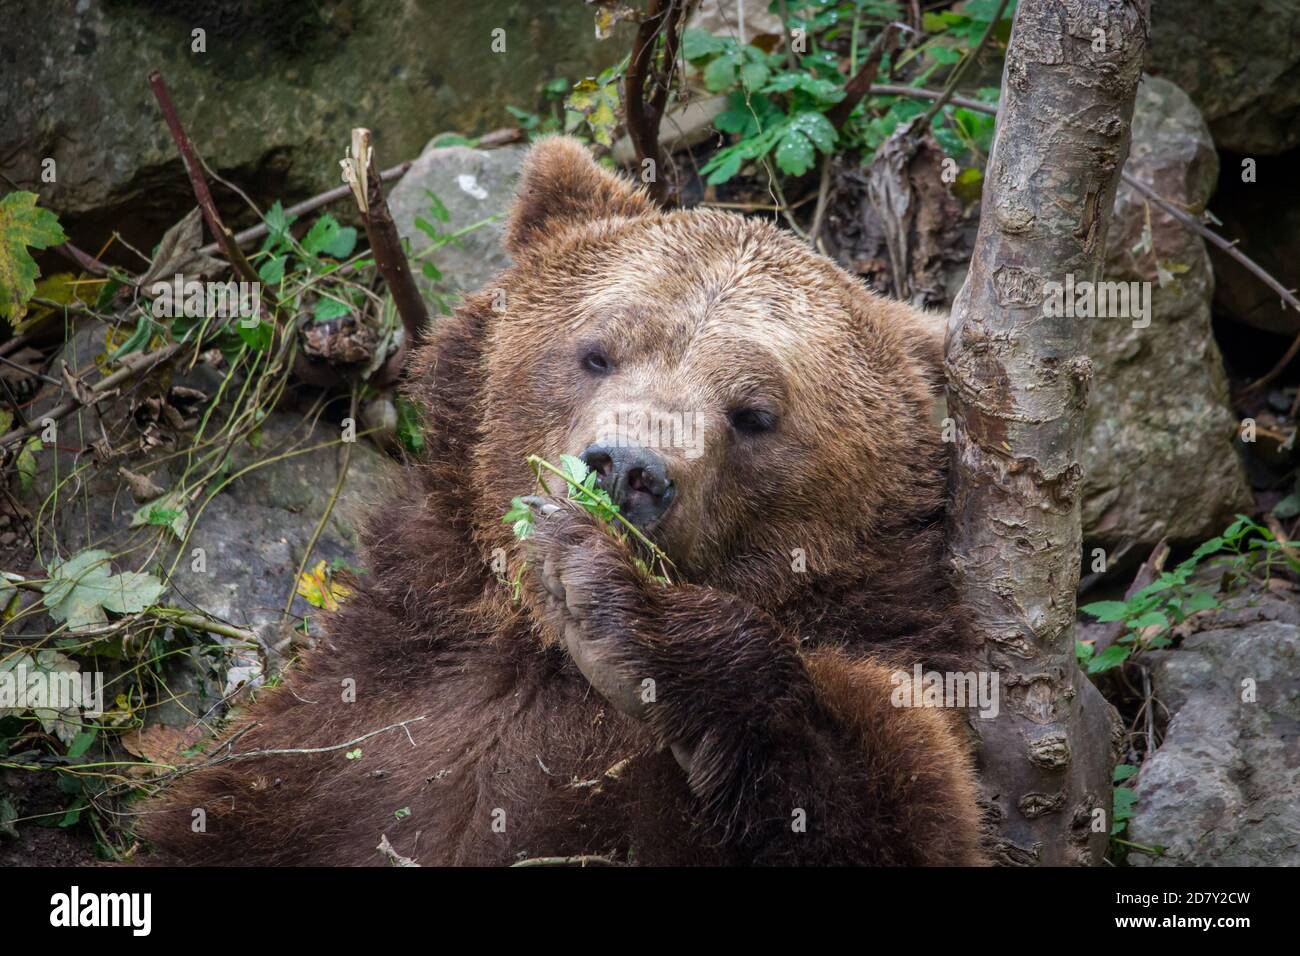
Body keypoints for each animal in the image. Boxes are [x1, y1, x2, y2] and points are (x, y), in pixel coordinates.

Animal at [137, 140, 982, 868]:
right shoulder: (347, 723)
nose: (626, 468)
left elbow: (896, 793)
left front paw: (621, 610)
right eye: (597, 352)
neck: (534, 650)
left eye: (755, 414)